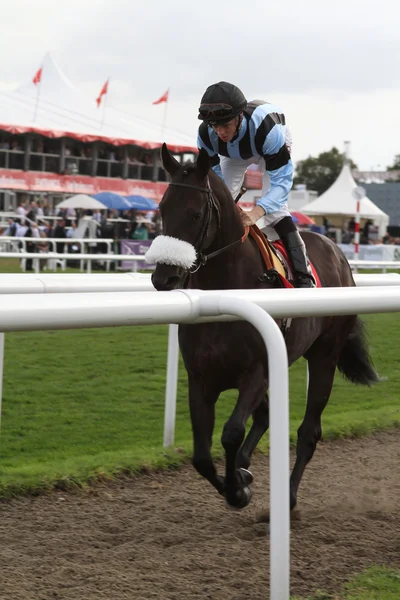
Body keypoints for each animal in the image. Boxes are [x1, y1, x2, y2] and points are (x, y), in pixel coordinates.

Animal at [148, 144, 378, 510]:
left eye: (195, 214)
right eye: (161, 209)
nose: (164, 277)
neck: (228, 288)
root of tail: (339, 255)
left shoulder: (256, 372)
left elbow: (230, 433)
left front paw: (237, 489)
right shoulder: (201, 377)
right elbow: (201, 456)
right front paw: (238, 481)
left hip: (325, 355)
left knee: (308, 431)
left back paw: (289, 496)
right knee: (267, 417)